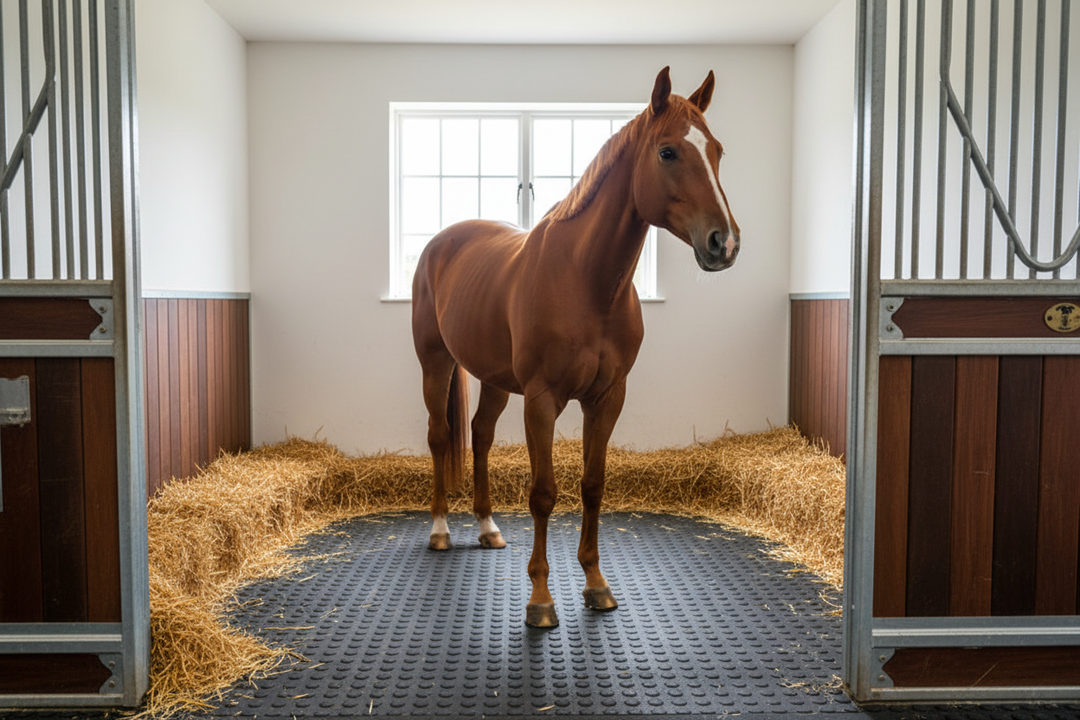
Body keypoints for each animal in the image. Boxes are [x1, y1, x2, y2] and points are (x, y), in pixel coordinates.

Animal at [411, 67, 740, 628]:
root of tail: (442, 242)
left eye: (716, 150)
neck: (586, 282)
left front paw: (596, 585)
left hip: (496, 380)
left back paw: (487, 527)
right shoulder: (542, 399)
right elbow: (544, 493)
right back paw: (439, 530)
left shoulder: (607, 398)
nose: (725, 242)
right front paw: (541, 600)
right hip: (437, 364)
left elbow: (593, 484)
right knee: (440, 436)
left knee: (479, 435)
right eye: (668, 152)